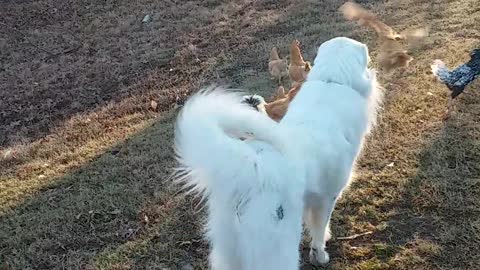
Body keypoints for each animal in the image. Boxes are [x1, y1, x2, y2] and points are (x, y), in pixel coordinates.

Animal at [173, 36, 382, 270]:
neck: (332, 81)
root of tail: (251, 165)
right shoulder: (326, 198)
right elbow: (319, 231)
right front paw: (320, 255)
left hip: (227, 248)